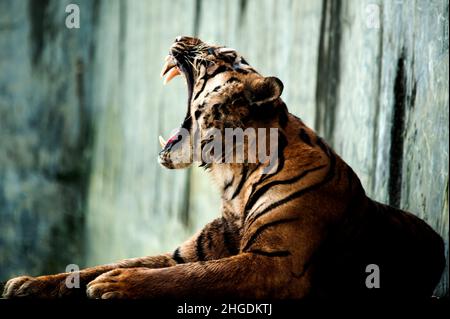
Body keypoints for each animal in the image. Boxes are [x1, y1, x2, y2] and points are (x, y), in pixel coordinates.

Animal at [2, 37, 446, 300]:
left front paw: (117, 285)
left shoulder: (277, 262)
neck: (232, 179)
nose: (183, 37)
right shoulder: (187, 252)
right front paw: (29, 283)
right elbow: (110, 262)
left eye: (226, 56)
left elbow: (196, 276)